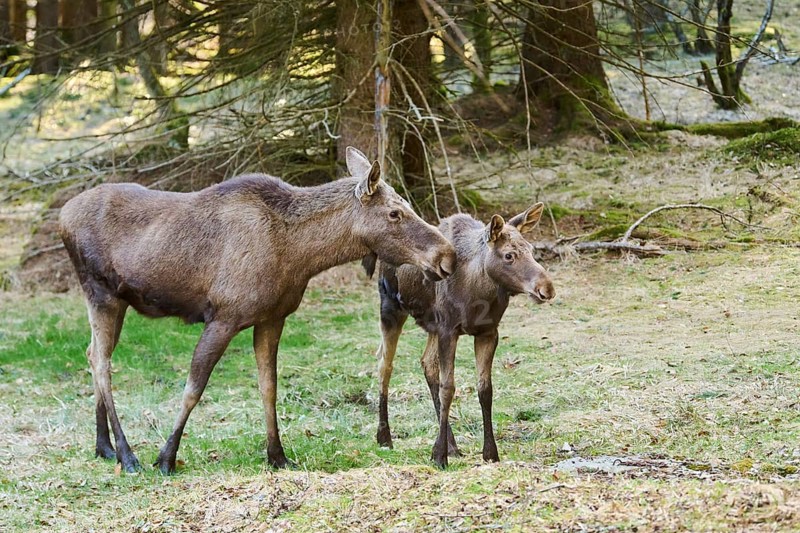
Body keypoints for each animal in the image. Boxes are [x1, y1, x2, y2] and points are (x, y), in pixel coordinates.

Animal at [58, 147, 456, 474]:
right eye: (395, 212)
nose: (447, 255)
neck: (299, 256)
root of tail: (62, 216)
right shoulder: (223, 316)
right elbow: (194, 387)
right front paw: (166, 457)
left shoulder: (272, 318)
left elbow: (269, 387)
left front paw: (277, 455)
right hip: (101, 293)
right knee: (102, 362)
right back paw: (127, 455)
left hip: (115, 301)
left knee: (91, 353)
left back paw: (104, 446)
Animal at [369, 204, 555, 468]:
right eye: (509, 255)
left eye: (531, 249)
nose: (546, 288)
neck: (478, 294)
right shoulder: (449, 330)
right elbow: (448, 389)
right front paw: (439, 456)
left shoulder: (487, 332)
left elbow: (485, 390)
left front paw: (490, 452)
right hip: (391, 309)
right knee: (385, 365)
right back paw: (385, 436)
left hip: (431, 327)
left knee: (426, 363)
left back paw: (451, 444)